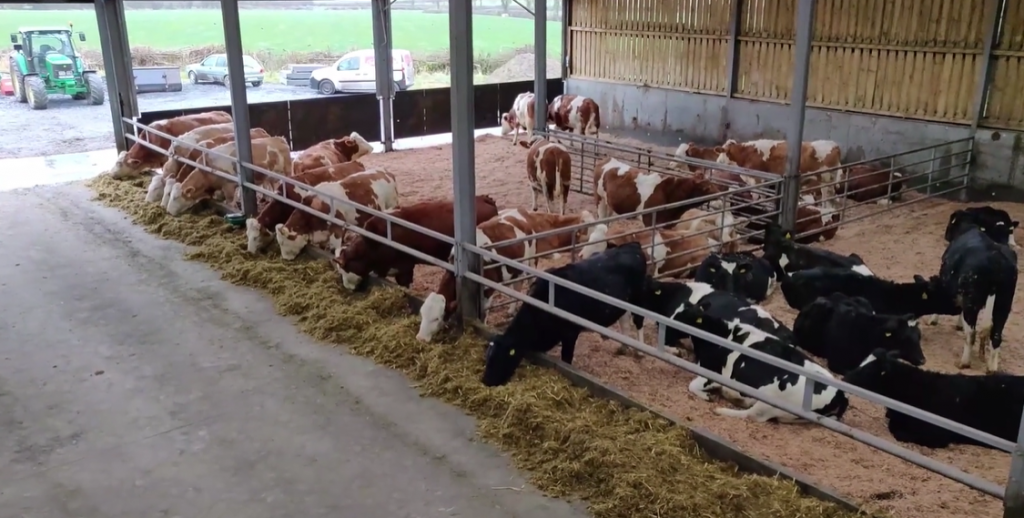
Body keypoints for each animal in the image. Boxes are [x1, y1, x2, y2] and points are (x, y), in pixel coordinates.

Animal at [416, 208, 595, 343]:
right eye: (422, 314)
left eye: (436, 318)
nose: (420, 338)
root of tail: (524, 213)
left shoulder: (487, 290)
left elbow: (485, 312)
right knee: (516, 286)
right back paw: (511, 309)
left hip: (529, 262)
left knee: (525, 283)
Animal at [481, 242, 648, 387]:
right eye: (487, 358)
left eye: (499, 359)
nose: (485, 381)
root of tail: (631, 245)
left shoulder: (570, 333)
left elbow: (566, 359)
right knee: (624, 321)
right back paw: (623, 347)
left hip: (638, 299)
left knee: (638, 321)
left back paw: (640, 351)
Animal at [593, 157, 723, 227]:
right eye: (707, 187)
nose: (720, 194)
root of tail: (607, 159)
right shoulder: (649, 221)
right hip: (600, 199)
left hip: (609, 203)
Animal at [674, 303, 849, 423]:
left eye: (680, 317)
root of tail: (841, 395)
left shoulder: (712, 373)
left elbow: (692, 386)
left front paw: (707, 396)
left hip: (771, 399)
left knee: (752, 415)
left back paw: (722, 409)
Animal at [935, 217, 1018, 373]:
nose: (946, 236)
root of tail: (997, 260)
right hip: (1003, 304)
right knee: (996, 335)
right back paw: (991, 368)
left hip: (972, 302)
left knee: (971, 334)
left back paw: (964, 363)